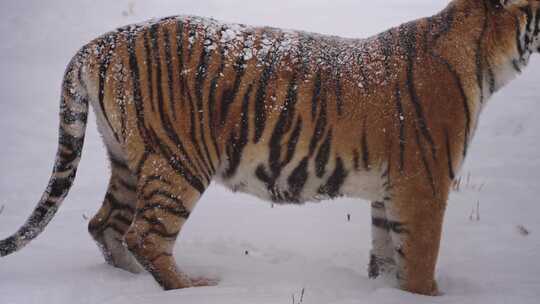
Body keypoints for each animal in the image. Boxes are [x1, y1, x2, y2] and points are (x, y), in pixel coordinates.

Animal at [1, 0, 540, 296]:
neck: (485, 59)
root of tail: (102, 42)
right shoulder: (422, 186)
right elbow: (421, 260)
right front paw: (427, 295)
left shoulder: (392, 194)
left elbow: (388, 256)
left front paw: (385, 291)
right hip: (177, 162)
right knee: (145, 235)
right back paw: (192, 289)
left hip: (129, 161)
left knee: (105, 224)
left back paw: (132, 284)